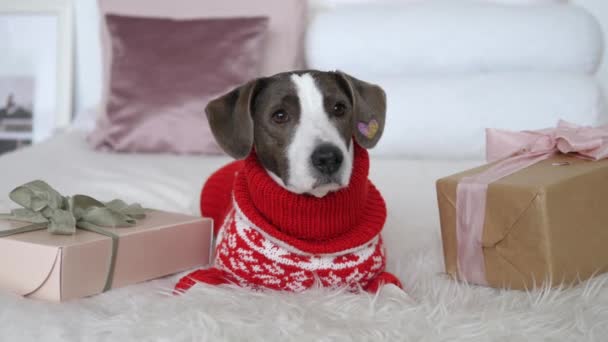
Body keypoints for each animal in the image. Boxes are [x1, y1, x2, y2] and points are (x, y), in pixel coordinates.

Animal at [173, 70, 402, 294]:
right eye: (280, 115)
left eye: (339, 108)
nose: (328, 158)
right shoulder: (216, 276)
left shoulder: (378, 277)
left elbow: (392, 291)